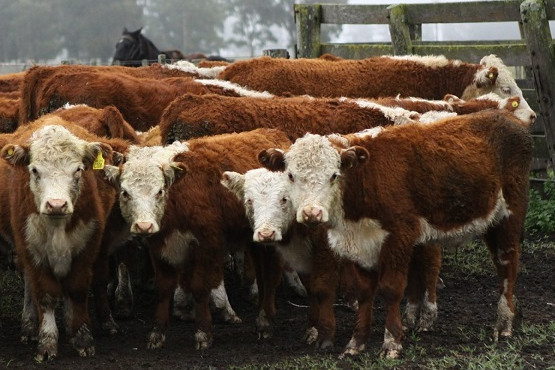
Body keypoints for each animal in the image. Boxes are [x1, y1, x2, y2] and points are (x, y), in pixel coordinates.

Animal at [103, 129, 292, 350]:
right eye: (125, 192)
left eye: (159, 191)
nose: (144, 226)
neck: (177, 198)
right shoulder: (160, 248)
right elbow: (163, 289)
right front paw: (157, 333)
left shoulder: (206, 245)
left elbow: (200, 287)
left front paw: (203, 333)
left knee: (271, 276)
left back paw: (265, 323)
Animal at [260, 110, 536, 358]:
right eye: (290, 175)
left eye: (334, 175)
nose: (312, 213)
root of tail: (508, 118)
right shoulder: (359, 244)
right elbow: (364, 292)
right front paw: (355, 343)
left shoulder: (399, 235)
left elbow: (391, 289)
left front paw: (391, 342)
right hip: (489, 222)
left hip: (509, 216)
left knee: (507, 266)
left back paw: (504, 323)